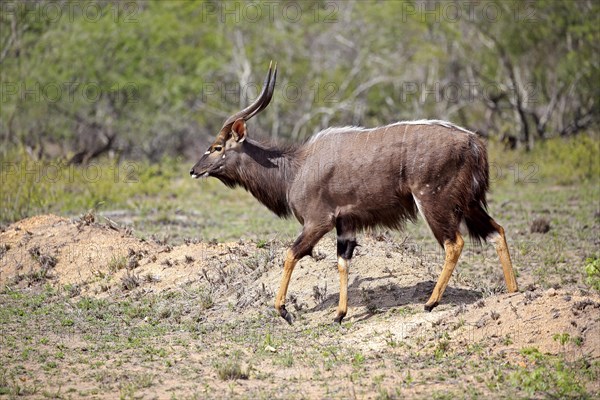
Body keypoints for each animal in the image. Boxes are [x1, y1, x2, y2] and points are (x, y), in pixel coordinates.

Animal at [190, 63, 516, 324]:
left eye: (217, 147)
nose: (194, 170)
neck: (295, 168)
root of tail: (474, 142)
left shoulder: (318, 221)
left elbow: (291, 254)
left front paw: (283, 310)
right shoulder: (345, 224)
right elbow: (342, 261)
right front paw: (339, 314)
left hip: (434, 201)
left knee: (454, 243)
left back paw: (431, 302)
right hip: (469, 203)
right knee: (497, 231)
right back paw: (513, 292)